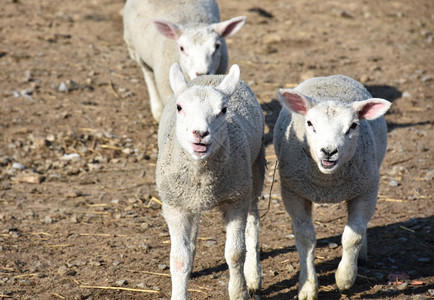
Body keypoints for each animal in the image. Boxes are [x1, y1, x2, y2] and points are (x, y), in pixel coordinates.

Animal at [156, 62, 264, 298]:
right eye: (179, 107)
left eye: (223, 110)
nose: (200, 133)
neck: (202, 175)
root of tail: (215, 76)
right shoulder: (175, 206)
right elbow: (179, 259)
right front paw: (179, 291)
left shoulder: (236, 200)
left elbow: (235, 254)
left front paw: (239, 292)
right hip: (189, 198)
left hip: (253, 173)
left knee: (253, 220)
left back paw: (253, 275)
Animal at [274, 75, 394, 300]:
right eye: (310, 123)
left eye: (353, 125)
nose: (328, 151)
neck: (327, 183)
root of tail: (328, 77)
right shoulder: (293, 192)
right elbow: (305, 238)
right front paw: (308, 287)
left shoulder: (366, 191)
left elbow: (353, 236)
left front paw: (345, 279)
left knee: (361, 226)